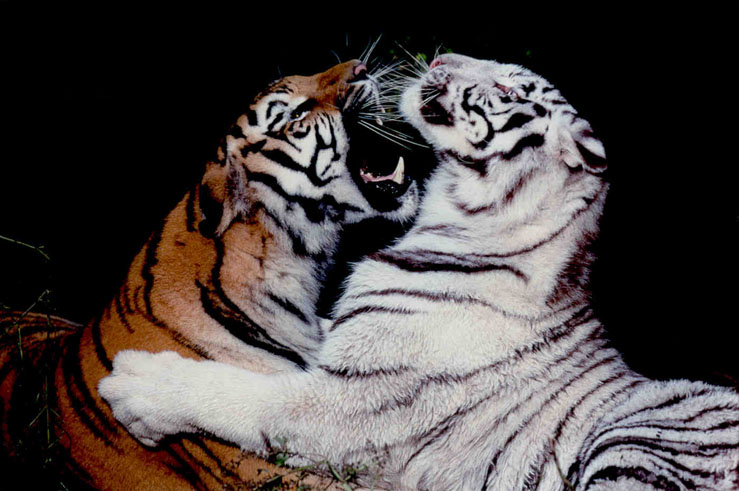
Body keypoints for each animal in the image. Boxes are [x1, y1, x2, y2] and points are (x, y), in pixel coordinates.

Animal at [98, 53, 739, 490]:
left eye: (507, 86)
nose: (439, 58)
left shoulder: (346, 404)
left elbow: (242, 394)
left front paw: (134, 383)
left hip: (633, 446)